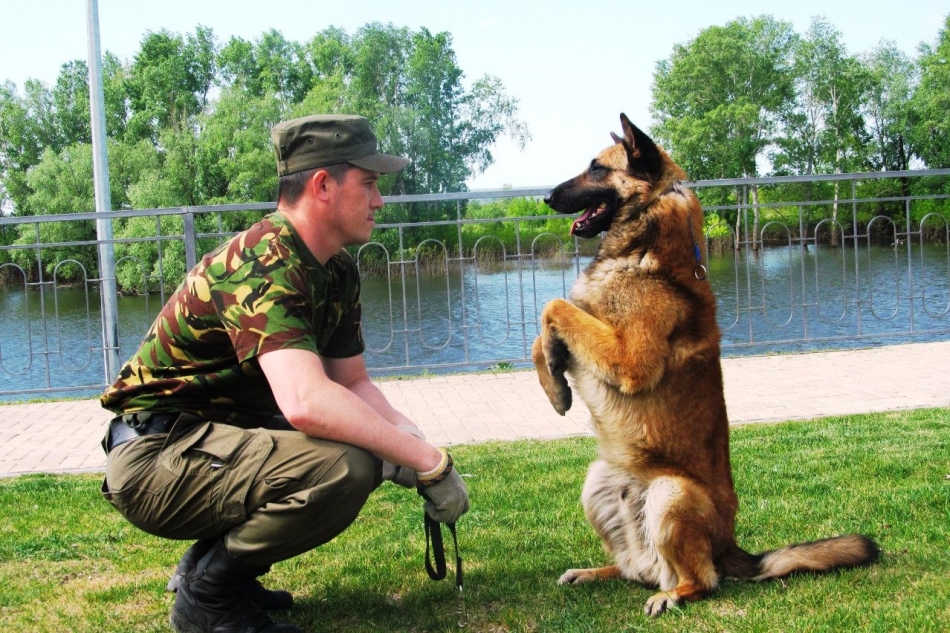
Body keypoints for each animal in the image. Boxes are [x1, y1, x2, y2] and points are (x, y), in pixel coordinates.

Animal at [532, 112, 880, 612]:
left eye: (597, 168)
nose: (544, 197)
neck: (645, 245)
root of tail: (729, 547)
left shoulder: (629, 359)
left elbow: (554, 305)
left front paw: (556, 370)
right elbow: (545, 329)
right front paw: (555, 382)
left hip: (670, 494)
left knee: (701, 580)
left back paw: (672, 594)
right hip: (597, 482)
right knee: (633, 571)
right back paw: (593, 572)